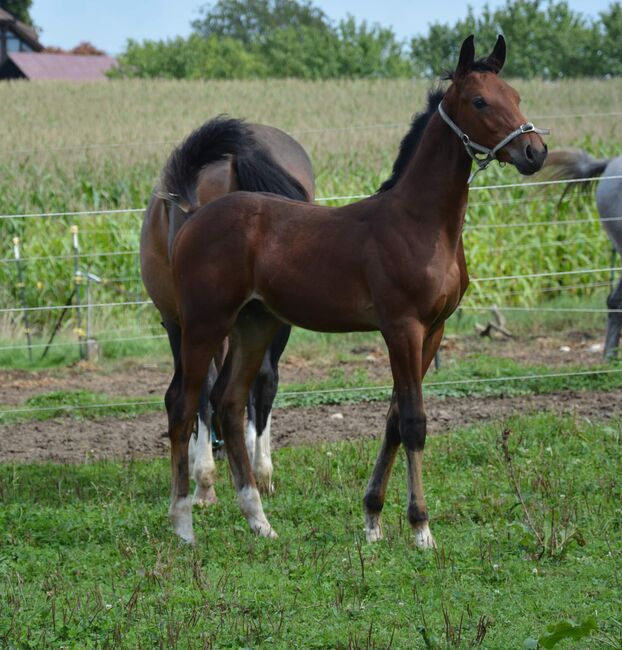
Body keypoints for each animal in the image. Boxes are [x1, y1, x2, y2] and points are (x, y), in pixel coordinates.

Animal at [142, 117, 316, 506]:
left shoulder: (177, 323)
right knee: (265, 379)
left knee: (203, 388)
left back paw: (206, 483)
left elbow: (194, 393)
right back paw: (262, 474)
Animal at [167, 34, 552, 540]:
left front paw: (373, 519)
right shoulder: (401, 328)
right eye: (479, 101)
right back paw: (183, 525)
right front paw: (420, 529)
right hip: (203, 323)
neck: (421, 223)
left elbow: (393, 422)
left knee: (228, 403)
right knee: (184, 405)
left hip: (256, 323)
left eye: (516, 96)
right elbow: (413, 422)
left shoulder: (434, 330)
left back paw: (259, 522)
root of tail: (193, 214)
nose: (534, 152)